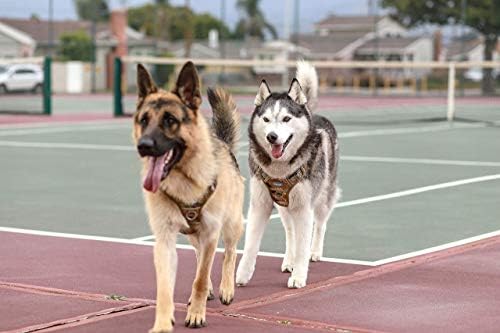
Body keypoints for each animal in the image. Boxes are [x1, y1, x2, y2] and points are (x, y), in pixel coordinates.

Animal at [132, 61, 243, 330]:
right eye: (144, 120)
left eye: (170, 119)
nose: (144, 146)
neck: (184, 180)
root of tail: (223, 143)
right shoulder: (164, 240)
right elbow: (165, 287)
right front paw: (163, 323)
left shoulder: (212, 232)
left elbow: (201, 278)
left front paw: (196, 313)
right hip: (193, 235)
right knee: (200, 255)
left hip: (231, 225)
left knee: (229, 254)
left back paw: (225, 288)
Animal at [235, 61, 340, 288]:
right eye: (266, 119)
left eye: (286, 118)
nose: (272, 136)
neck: (280, 168)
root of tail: (312, 112)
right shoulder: (260, 204)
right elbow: (251, 244)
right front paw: (242, 274)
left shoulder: (304, 208)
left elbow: (303, 245)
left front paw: (299, 276)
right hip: (283, 206)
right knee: (290, 232)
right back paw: (289, 260)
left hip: (323, 197)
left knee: (320, 224)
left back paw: (315, 252)